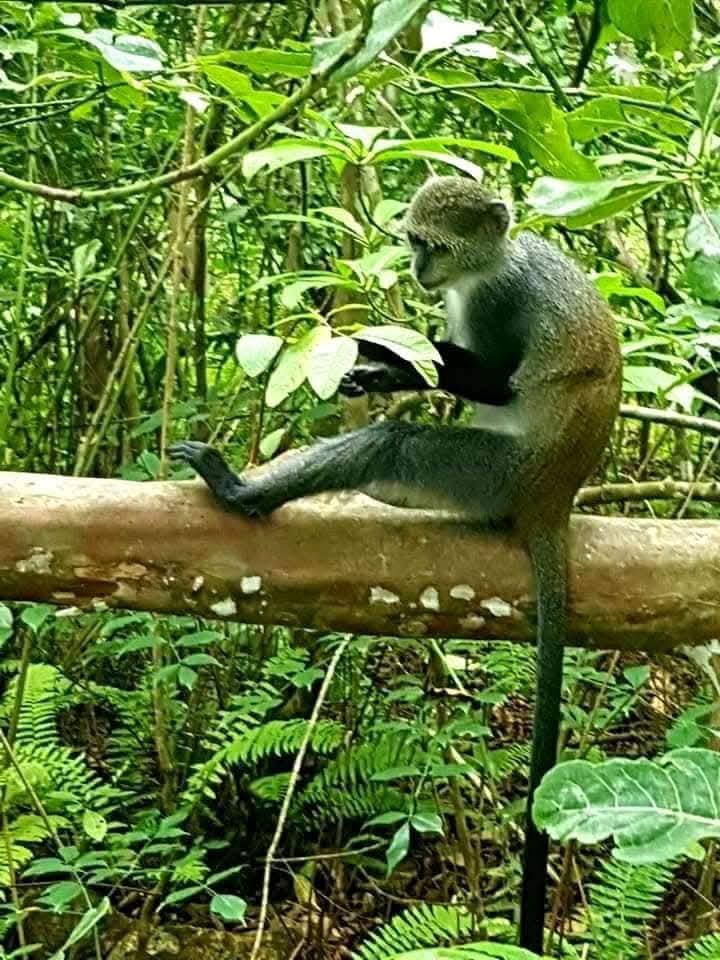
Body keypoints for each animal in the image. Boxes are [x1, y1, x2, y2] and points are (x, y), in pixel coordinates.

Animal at [169, 176, 621, 952]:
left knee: (396, 446)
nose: (415, 270)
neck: (491, 261)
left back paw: (243, 493)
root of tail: (552, 494)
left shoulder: (499, 302)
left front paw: (381, 349)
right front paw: (377, 365)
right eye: (411, 242)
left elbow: (497, 382)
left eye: (430, 245)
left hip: (489, 475)